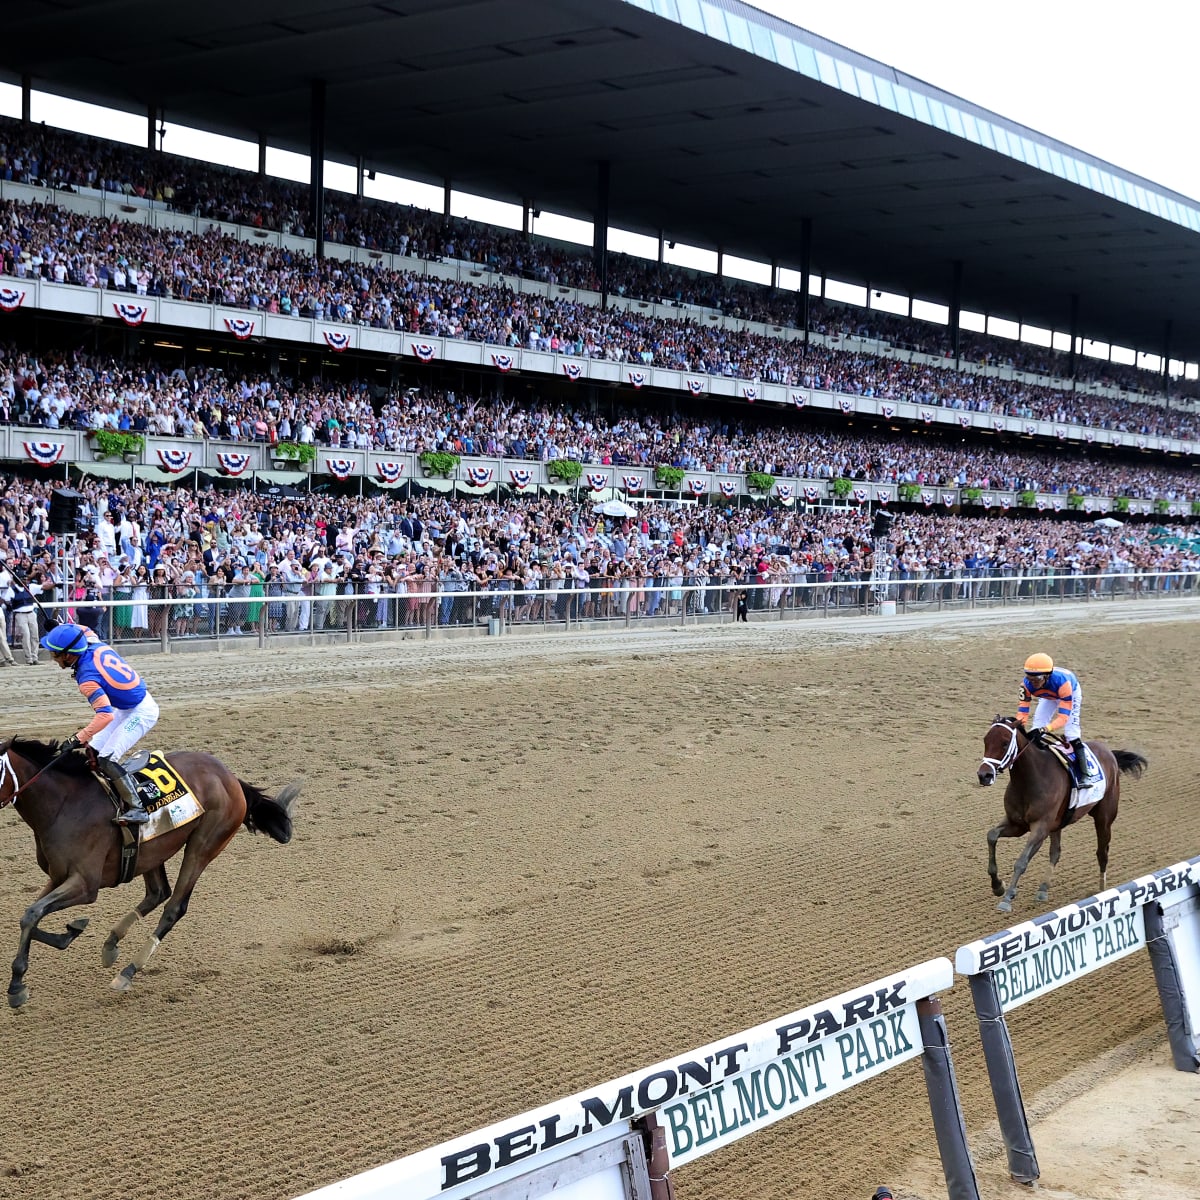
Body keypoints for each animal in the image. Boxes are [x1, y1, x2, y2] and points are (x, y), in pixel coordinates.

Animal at [0, 734, 300, 1008]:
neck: (64, 804)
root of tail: (230, 777)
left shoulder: (85, 884)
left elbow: (32, 914)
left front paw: (17, 986)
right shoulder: (58, 876)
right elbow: (30, 915)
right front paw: (70, 932)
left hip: (204, 845)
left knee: (174, 907)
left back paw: (128, 972)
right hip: (153, 850)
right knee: (158, 892)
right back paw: (111, 944)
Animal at [979, 715, 1147, 912]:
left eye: (1005, 743)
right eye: (986, 740)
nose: (984, 775)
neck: (1031, 779)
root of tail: (1109, 752)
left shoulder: (1040, 828)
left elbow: (1021, 861)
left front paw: (1007, 897)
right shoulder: (1017, 824)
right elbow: (991, 835)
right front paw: (998, 886)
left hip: (1104, 818)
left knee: (1102, 852)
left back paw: (1102, 891)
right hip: (1057, 823)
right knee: (1056, 852)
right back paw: (1043, 889)